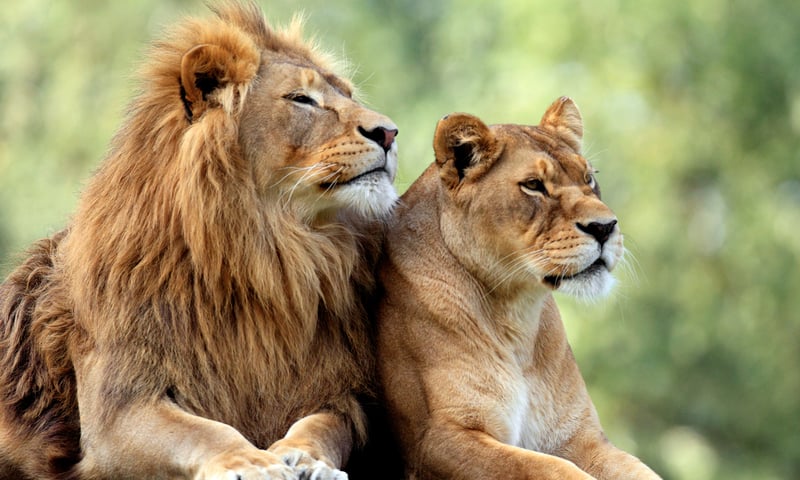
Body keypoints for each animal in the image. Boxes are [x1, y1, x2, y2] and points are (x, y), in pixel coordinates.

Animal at [0, 2, 398, 479]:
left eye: (349, 95)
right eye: (302, 99)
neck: (269, 255)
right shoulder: (117, 409)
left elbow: (324, 425)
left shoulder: (341, 392)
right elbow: (203, 431)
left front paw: (306, 457)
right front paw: (254, 462)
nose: (390, 132)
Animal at [375, 97, 661, 479]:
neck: (516, 316)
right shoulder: (437, 439)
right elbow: (548, 468)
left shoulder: (579, 436)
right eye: (534, 185)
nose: (605, 227)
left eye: (589, 179)